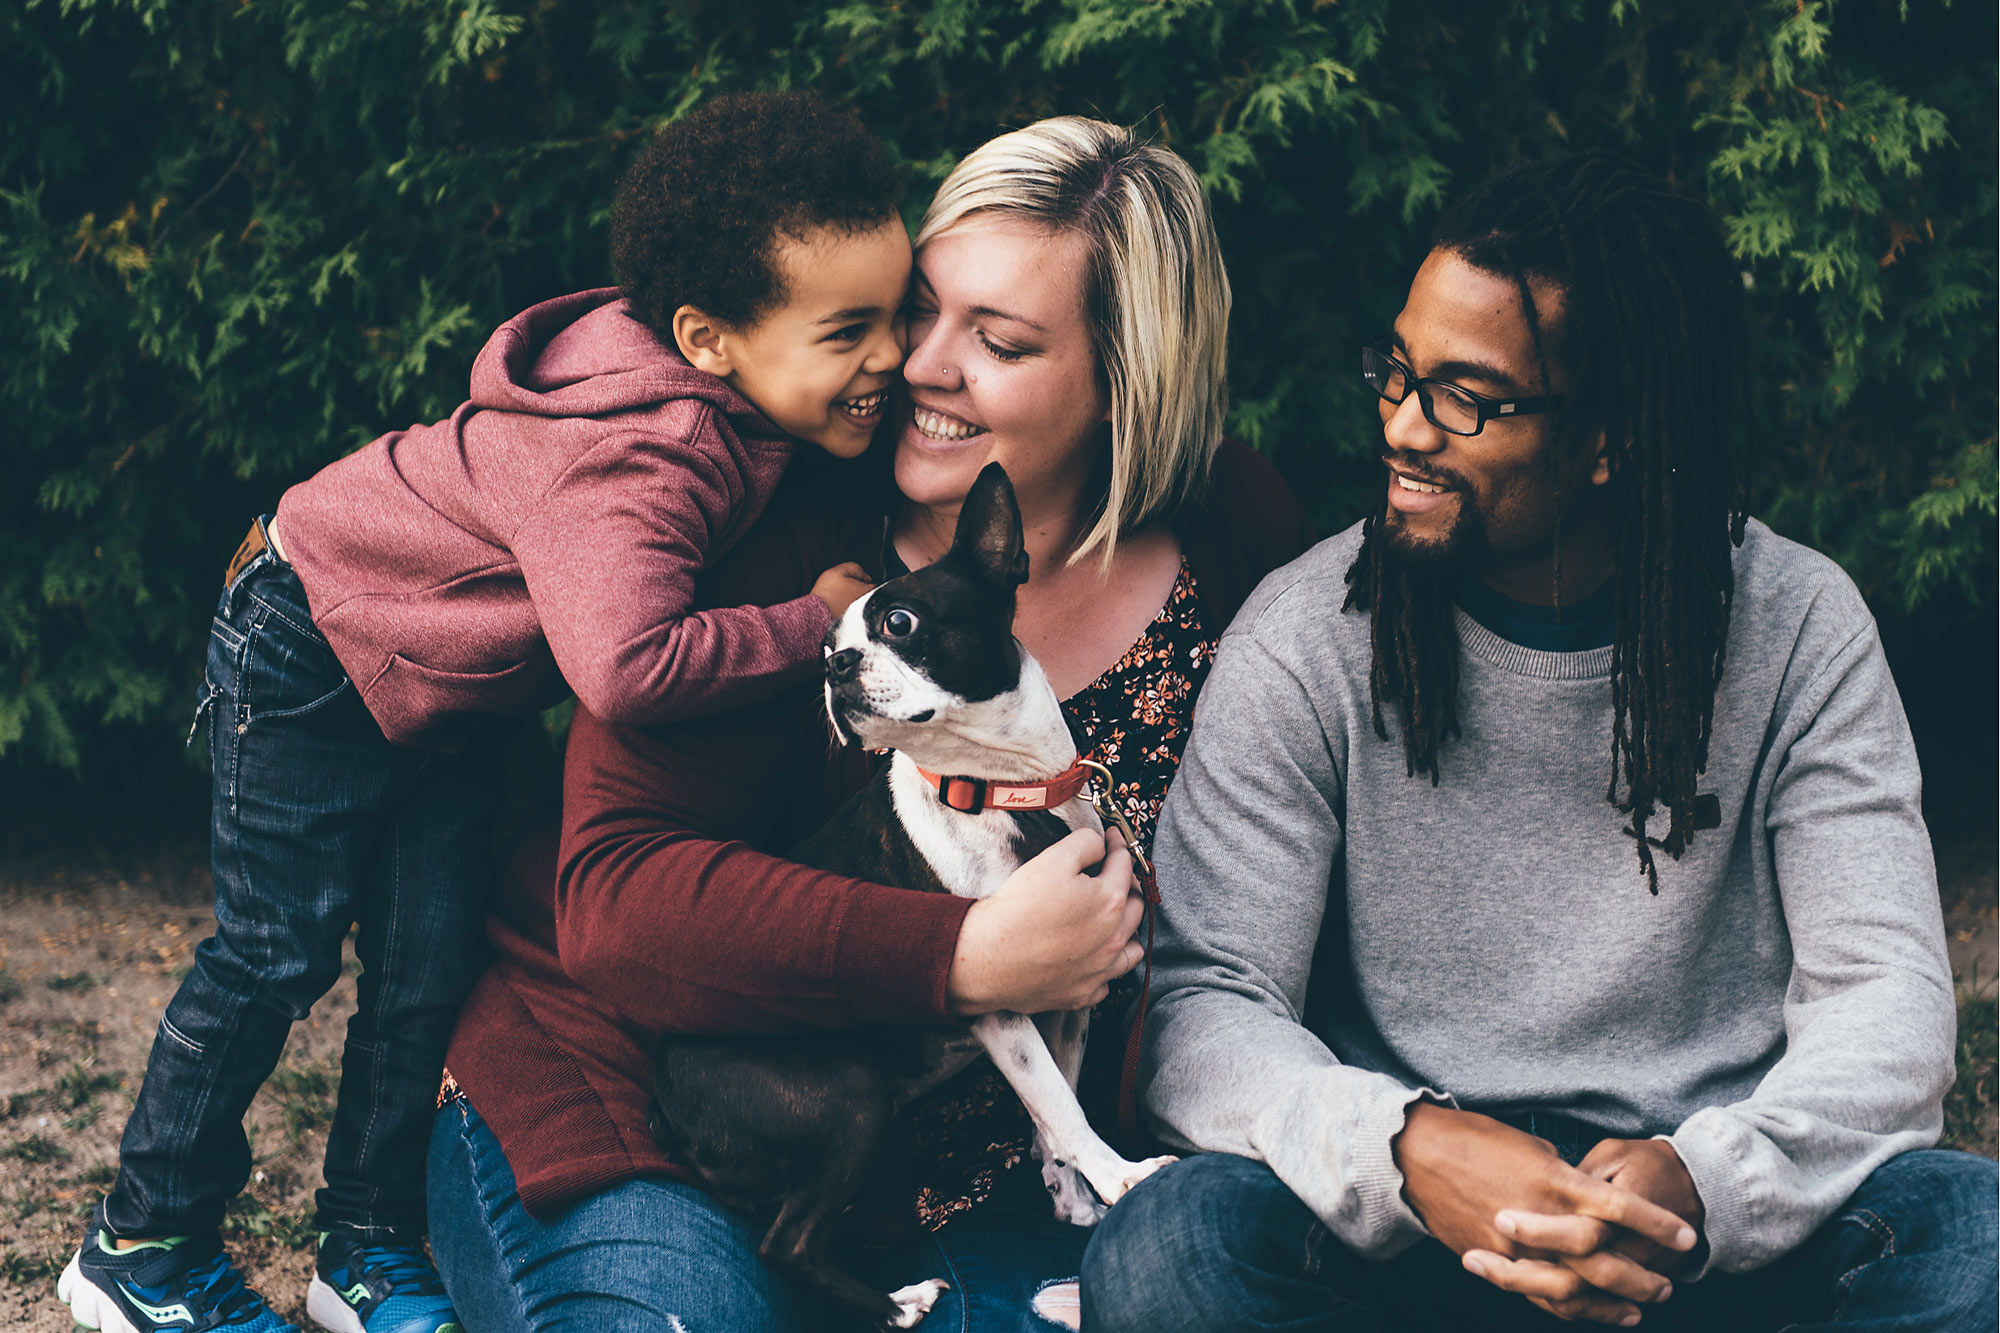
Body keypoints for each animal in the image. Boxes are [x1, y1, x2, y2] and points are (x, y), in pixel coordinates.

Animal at [656, 464, 1176, 1320]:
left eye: (900, 622)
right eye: (826, 649)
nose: (832, 667)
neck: (1004, 791)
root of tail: (659, 1090)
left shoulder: (1071, 1003)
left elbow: (1055, 1104)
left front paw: (1072, 1195)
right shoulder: (1001, 1003)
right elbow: (1064, 1107)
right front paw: (1124, 1179)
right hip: (849, 1097)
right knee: (787, 1243)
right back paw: (897, 1303)